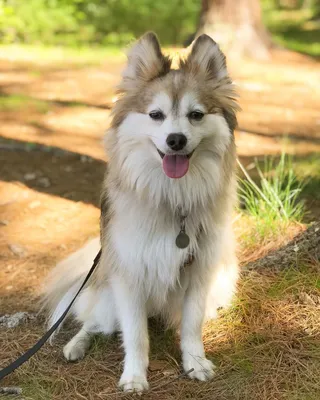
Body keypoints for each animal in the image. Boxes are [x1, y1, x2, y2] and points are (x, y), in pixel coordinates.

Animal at [44, 32, 240, 394]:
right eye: (155, 115)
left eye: (196, 115)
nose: (175, 140)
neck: (172, 198)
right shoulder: (129, 279)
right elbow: (135, 335)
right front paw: (134, 376)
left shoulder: (198, 274)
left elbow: (191, 326)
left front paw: (195, 362)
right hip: (107, 299)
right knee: (92, 323)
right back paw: (75, 345)